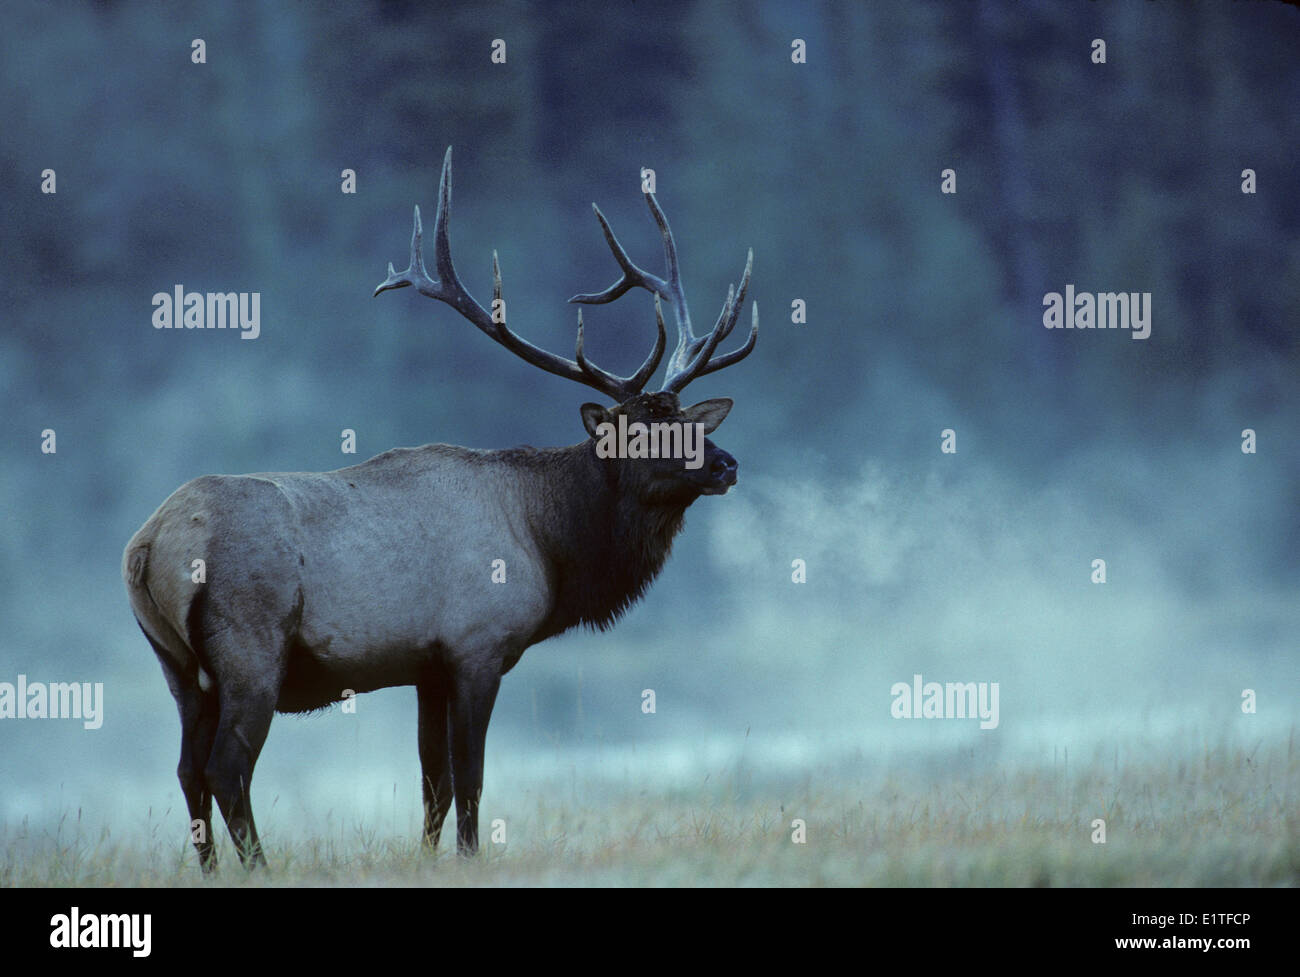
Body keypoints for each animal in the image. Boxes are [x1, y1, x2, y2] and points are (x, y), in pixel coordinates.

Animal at [122, 150, 759, 867]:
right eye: (646, 432)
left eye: (688, 421)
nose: (727, 464)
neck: (550, 541)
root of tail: (147, 546)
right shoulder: (476, 646)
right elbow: (470, 774)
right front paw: (470, 857)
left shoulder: (426, 667)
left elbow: (434, 781)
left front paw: (428, 859)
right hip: (250, 650)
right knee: (226, 768)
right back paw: (261, 868)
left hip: (177, 666)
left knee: (187, 770)